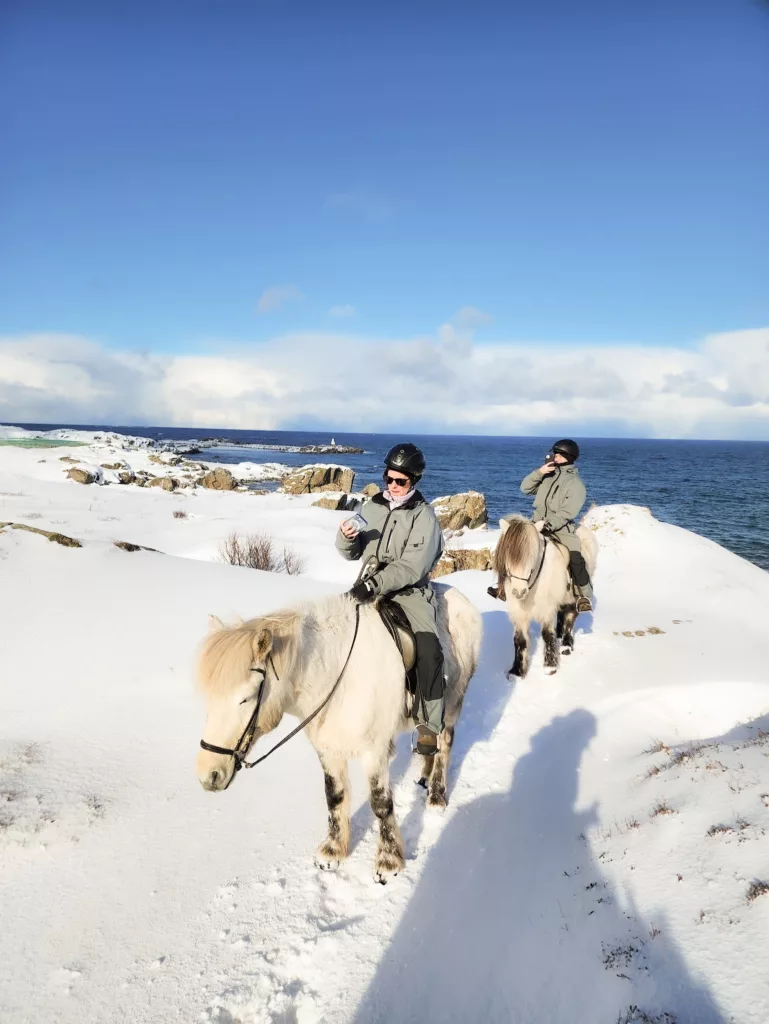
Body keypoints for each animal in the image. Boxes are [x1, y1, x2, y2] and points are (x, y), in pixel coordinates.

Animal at [195, 589, 481, 884]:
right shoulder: (328, 748)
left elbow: (381, 803)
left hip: (452, 704)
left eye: (246, 698)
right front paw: (333, 852)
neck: (337, 675)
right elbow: (334, 796)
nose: (209, 776)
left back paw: (436, 796)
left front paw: (388, 862)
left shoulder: (374, 752)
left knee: (444, 744)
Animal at [495, 520, 597, 679]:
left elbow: (547, 635)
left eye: (532, 555)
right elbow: (519, 639)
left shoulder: (547, 610)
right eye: (507, 552)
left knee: (570, 616)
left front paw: (550, 666)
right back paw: (560, 634)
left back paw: (566, 644)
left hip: (574, 596)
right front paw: (516, 671)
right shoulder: (518, 613)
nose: (519, 591)